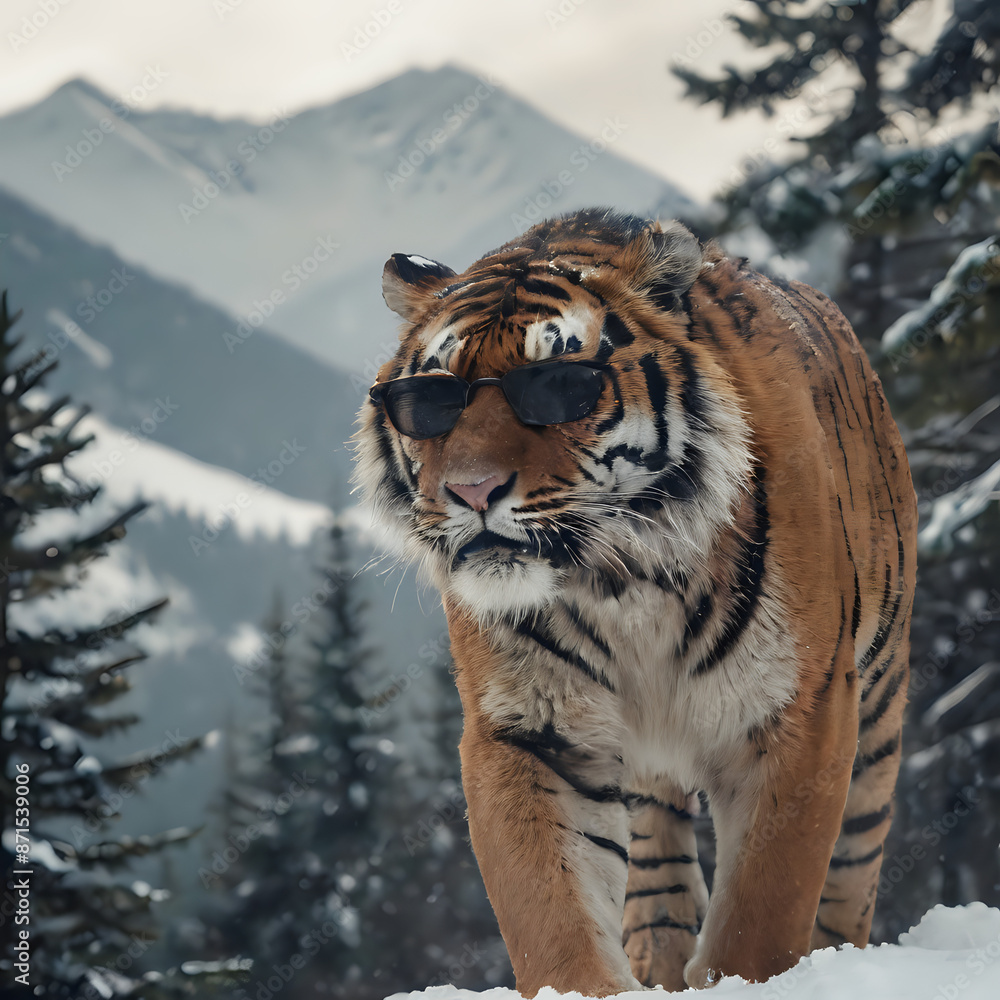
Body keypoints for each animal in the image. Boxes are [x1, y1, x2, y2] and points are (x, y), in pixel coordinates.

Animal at [353, 209, 916, 995]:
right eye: (430, 402)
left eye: (559, 388)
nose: (470, 489)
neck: (623, 577)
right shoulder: (532, 733)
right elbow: (550, 909)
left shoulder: (799, 711)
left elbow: (763, 907)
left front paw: (742, 975)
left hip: (879, 702)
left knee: (854, 864)